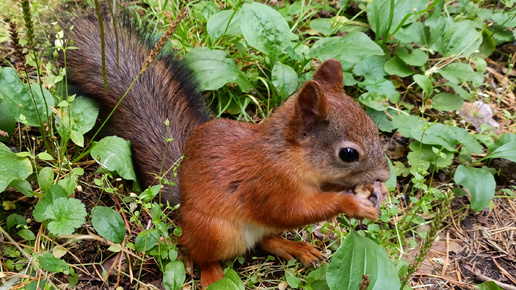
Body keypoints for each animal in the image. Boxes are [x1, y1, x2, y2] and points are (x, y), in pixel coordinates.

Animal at [62, 10, 390, 288]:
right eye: (348, 154)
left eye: (374, 129)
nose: (386, 176)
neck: (289, 156)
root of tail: (182, 217)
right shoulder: (268, 184)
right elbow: (293, 211)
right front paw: (350, 204)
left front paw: (375, 193)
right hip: (215, 232)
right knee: (200, 255)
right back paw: (214, 276)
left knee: (263, 240)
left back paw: (293, 247)